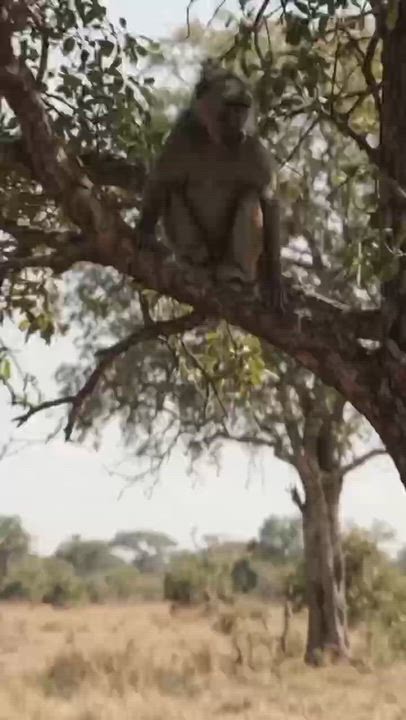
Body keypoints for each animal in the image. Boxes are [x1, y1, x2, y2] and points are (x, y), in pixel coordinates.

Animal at [136, 60, 285, 310]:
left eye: (243, 107)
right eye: (231, 106)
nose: (238, 129)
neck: (216, 142)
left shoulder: (251, 148)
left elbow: (267, 198)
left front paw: (274, 278)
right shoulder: (182, 137)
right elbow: (161, 181)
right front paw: (144, 231)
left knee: (249, 196)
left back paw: (235, 271)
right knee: (174, 191)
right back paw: (196, 259)